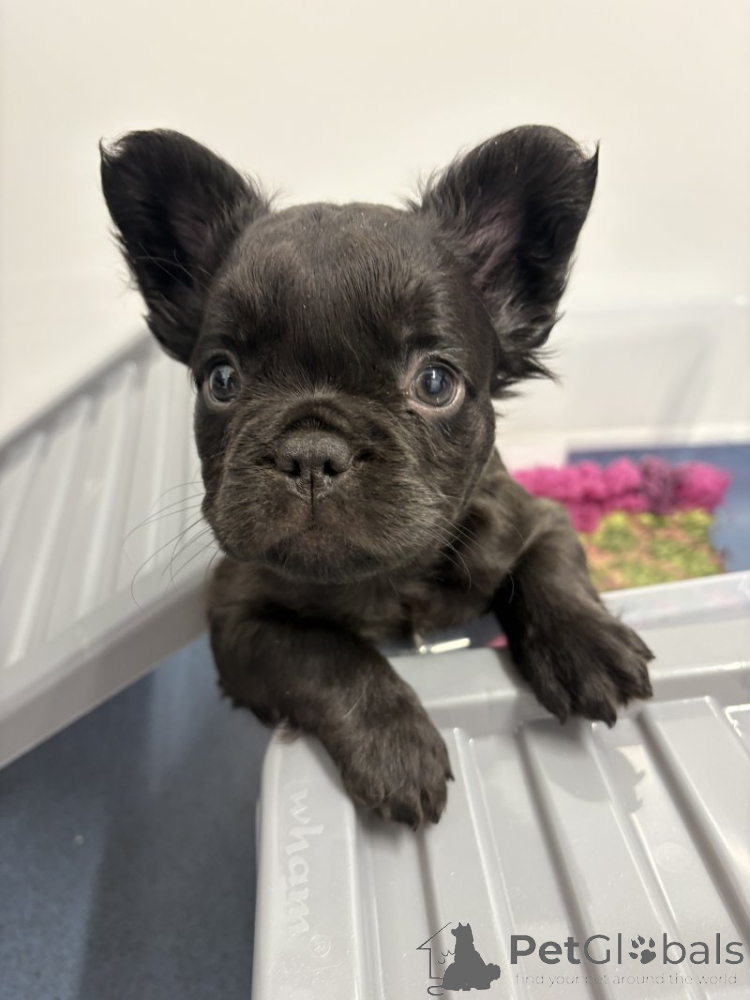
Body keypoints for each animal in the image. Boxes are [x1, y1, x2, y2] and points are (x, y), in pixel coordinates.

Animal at [101, 125, 653, 829]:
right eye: (221, 380)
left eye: (436, 383)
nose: (312, 453)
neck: (387, 578)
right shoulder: (236, 618)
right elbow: (324, 654)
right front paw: (396, 749)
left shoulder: (534, 517)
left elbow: (551, 568)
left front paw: (587, 646)